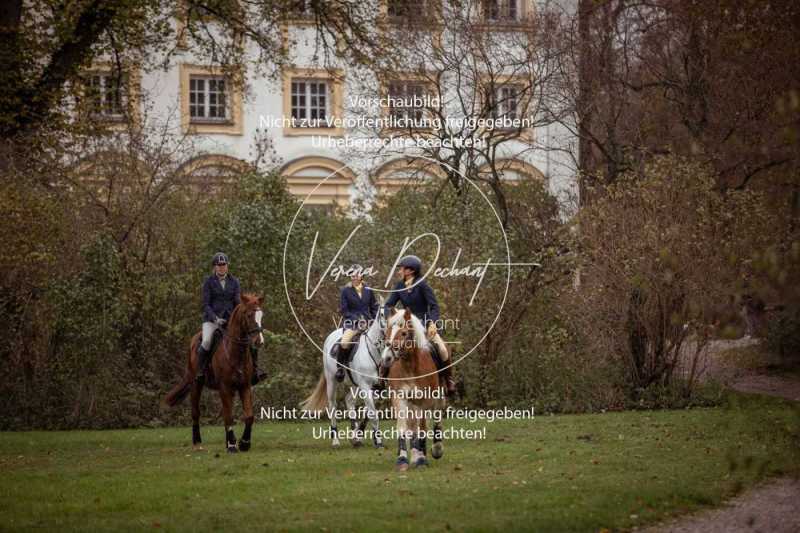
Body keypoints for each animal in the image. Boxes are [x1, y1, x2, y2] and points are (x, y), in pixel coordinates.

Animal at [163, 294, 266, 450]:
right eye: (249, 315)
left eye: (261, 315)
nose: (259, 342)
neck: (236, 352)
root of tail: (194, 339)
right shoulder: (224, 387)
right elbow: (229, 416)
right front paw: (232, 445)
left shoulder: (244, 386)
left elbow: (248, 415)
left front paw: (244, 443)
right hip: (196, 384)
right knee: (196, 413)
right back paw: (197, 441)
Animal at [300, 306, 388, 446]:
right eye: (384, 315)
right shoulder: (365, 386)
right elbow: (373, 414)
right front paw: (378, 441)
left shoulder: (377, 388)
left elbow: (369, 412)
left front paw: (361, 435)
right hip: (332, 382)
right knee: (333, 406)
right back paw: (335, 439)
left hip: (354, 385)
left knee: (349, 400)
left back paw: (354, 435)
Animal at [380, 308, 444, 470]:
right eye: (387, 332)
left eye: (404, 333)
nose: (387, 358)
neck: (410, 367)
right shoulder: (400, 398)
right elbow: (403, 428)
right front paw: (402, 459)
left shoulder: (424, 400)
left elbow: (422, 428)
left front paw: (421, 459)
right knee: (412, 426)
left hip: (437, 397)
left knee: (435, 418)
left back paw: (434, 450)